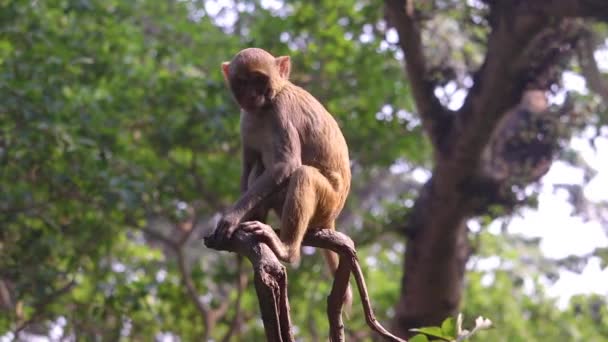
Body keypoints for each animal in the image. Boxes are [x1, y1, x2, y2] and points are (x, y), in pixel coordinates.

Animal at [216, 47, 354, 308]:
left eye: (259, 80)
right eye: (242, 81)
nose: (251, 95)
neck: (264, 108)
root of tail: (331, 219)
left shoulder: (282, 112)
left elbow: (286, 165)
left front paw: (231, 218)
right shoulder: (246, 120)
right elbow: (249, 164)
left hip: (327, 205)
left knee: (303, 174)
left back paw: (286, 249)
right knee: (261, 165)